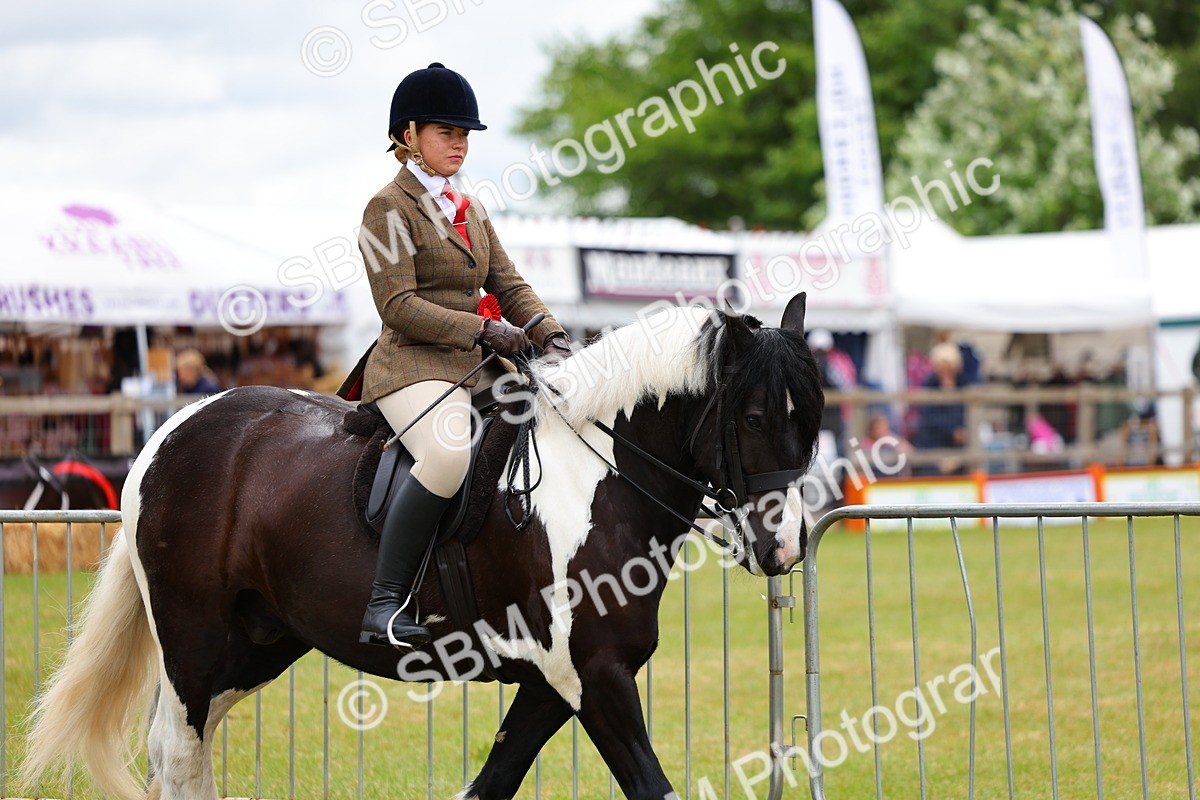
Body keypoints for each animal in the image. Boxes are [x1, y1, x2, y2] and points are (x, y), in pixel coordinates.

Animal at [21, 293, 823, 800]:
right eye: (754, 418)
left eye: (811, 422)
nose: (784, 548)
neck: (597, 477)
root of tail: (173, 428)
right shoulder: (594, 675)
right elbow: (650, 786)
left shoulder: (554, 681)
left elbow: (491, 784)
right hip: (195, 641)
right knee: (183, 756)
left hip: (250, 646)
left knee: (181, 752)